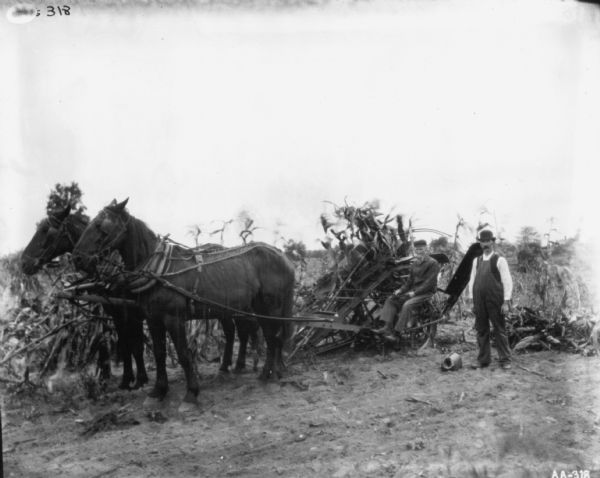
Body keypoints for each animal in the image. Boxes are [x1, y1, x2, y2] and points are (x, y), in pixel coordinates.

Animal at [21, 205, 149, 388]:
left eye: (46, 230)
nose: (23, 263)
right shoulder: (115, 313)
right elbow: (124, 345)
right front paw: (126, 379)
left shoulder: (129, 312)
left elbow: (135, 344)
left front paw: (140, 379)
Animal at [71, 197, 296, 404]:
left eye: (100, 225)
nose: (77, 258)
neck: (159, 271)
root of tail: (283, 256)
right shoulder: (153, 319)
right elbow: (159, 353)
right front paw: (158, 390)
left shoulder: (173, 318)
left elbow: (183, 354)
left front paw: (191, 392)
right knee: (265, 337)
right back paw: (266, 372)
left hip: (270, 308)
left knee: (272, 338)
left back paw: (268, 374)